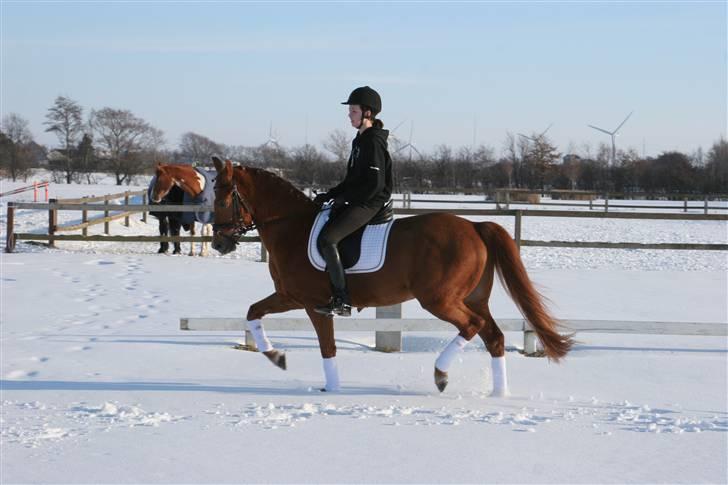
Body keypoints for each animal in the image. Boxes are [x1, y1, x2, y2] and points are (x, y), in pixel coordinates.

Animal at [208, 157, 572, 392]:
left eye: (223, 199)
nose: (218, 244)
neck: (291, 227)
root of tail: (474, 226)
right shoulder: (290, 297)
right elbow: (254, 312)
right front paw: (279, 357)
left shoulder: (309, 302)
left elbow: (325, 346)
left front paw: (306, 373)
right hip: (474, 297)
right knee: (493, 337)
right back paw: (498, 393)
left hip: (439, 300)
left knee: (472, 326)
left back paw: (441, 375)